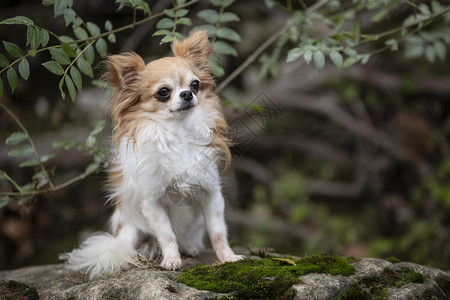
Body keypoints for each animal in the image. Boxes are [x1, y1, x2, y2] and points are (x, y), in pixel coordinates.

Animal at [61, 30, 244, 278]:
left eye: (195, 84)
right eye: (163, 92)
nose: (187, 94)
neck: (179, 134)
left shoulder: (211, 193)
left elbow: (218, 232)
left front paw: (228, 258)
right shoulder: (153, 202)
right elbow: (166, 234)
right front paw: (172, 260)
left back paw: (187, 247)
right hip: (130, 229)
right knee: (130, 244)